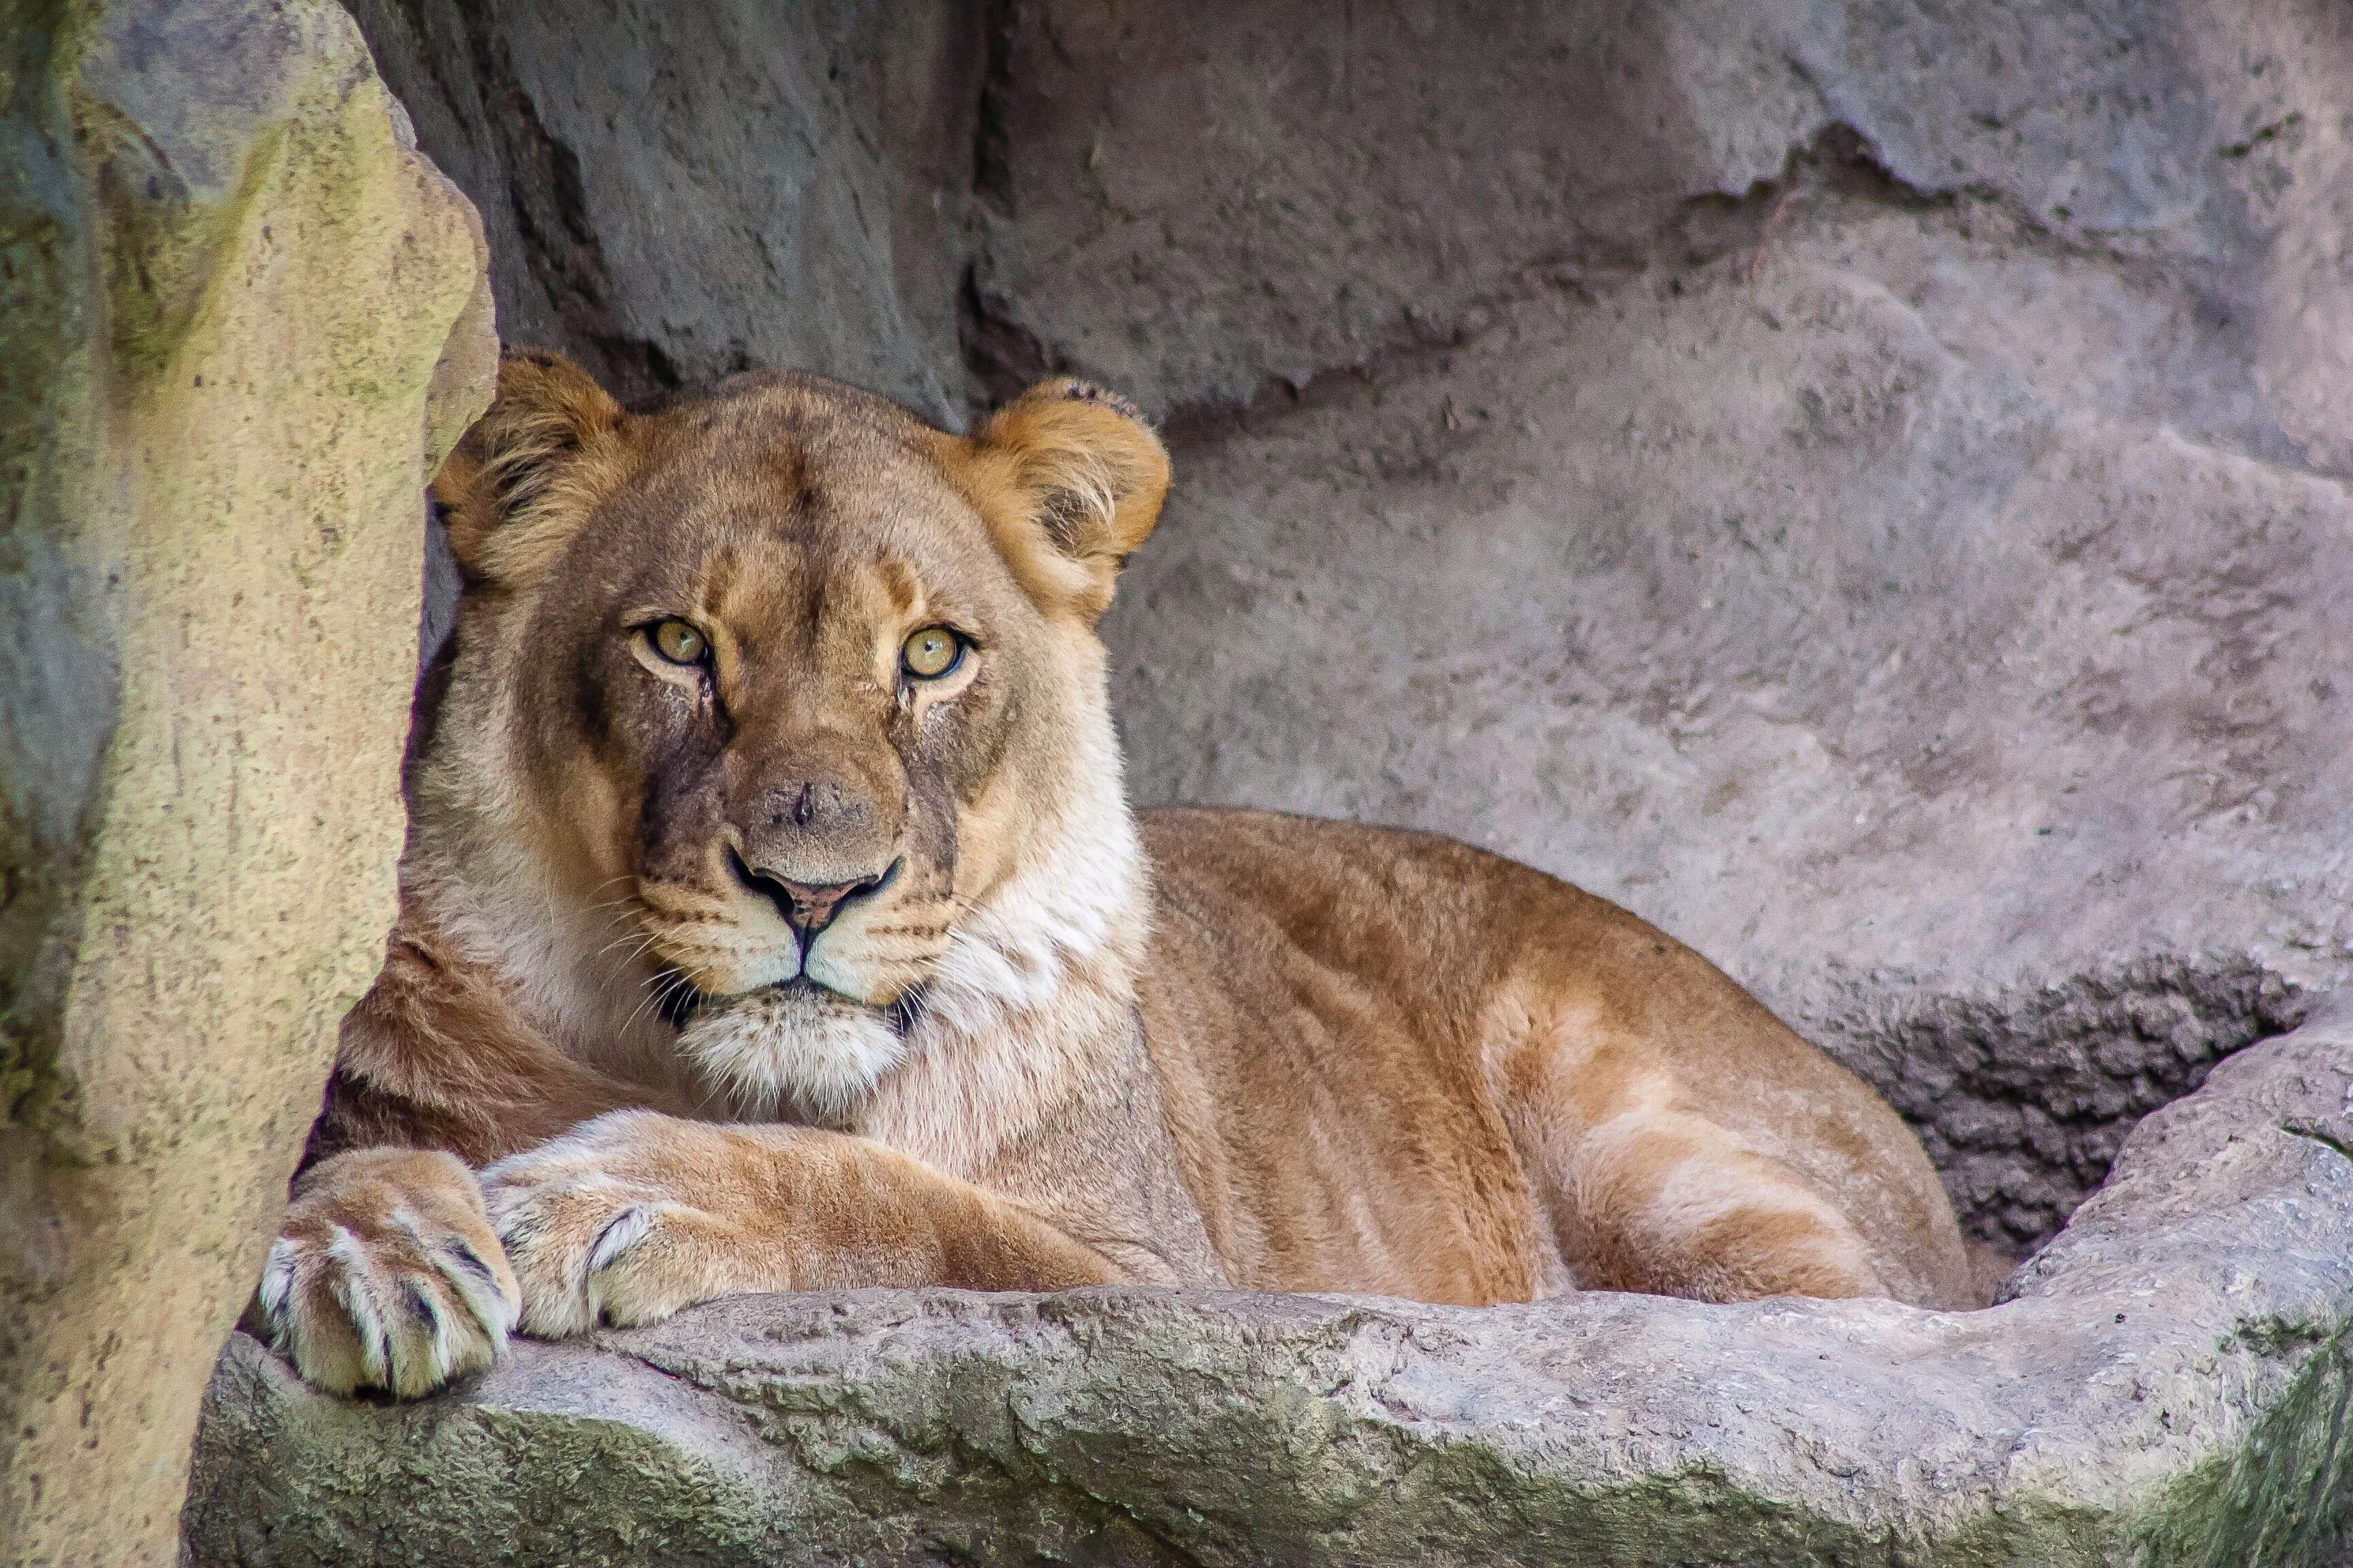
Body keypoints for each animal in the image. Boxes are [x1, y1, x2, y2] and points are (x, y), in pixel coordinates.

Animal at [259, 350, 1984, 1398]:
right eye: (679, 643)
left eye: (932, 655)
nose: (814, 891)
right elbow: (319, 1162)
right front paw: (377, 1246)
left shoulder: (1153, 1283)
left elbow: (898, 1201)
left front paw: (616, 1193)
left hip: (1658, 1148)